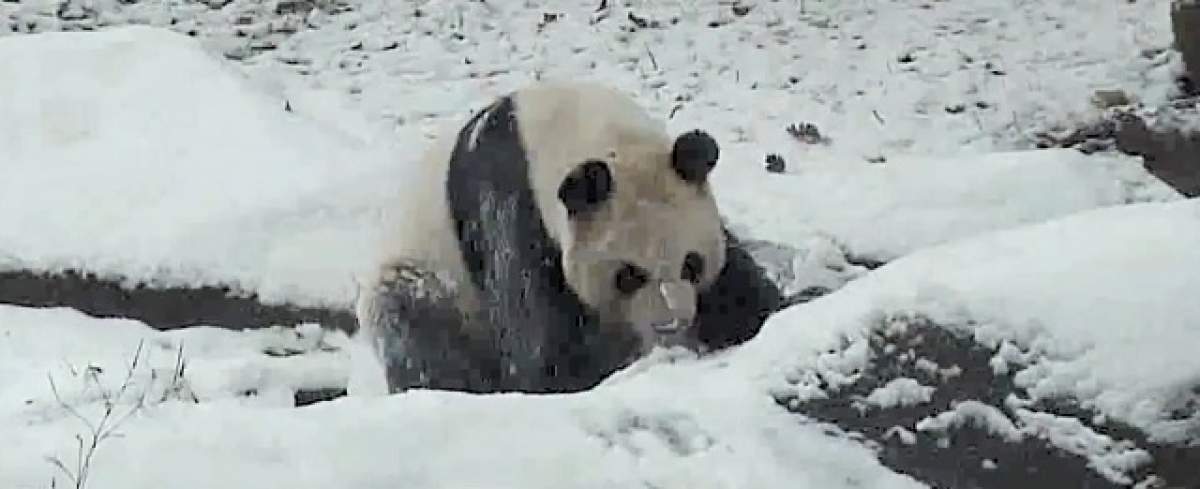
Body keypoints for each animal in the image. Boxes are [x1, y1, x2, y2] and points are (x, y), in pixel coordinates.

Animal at [355, 80, 782, 393]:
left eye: (692, 264)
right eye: (628, 275)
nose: (672, 323)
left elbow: (735, 278)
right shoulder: (511, 203)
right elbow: (533, 326)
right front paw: (575, 376)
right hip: (426, 280)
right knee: (415, 328)